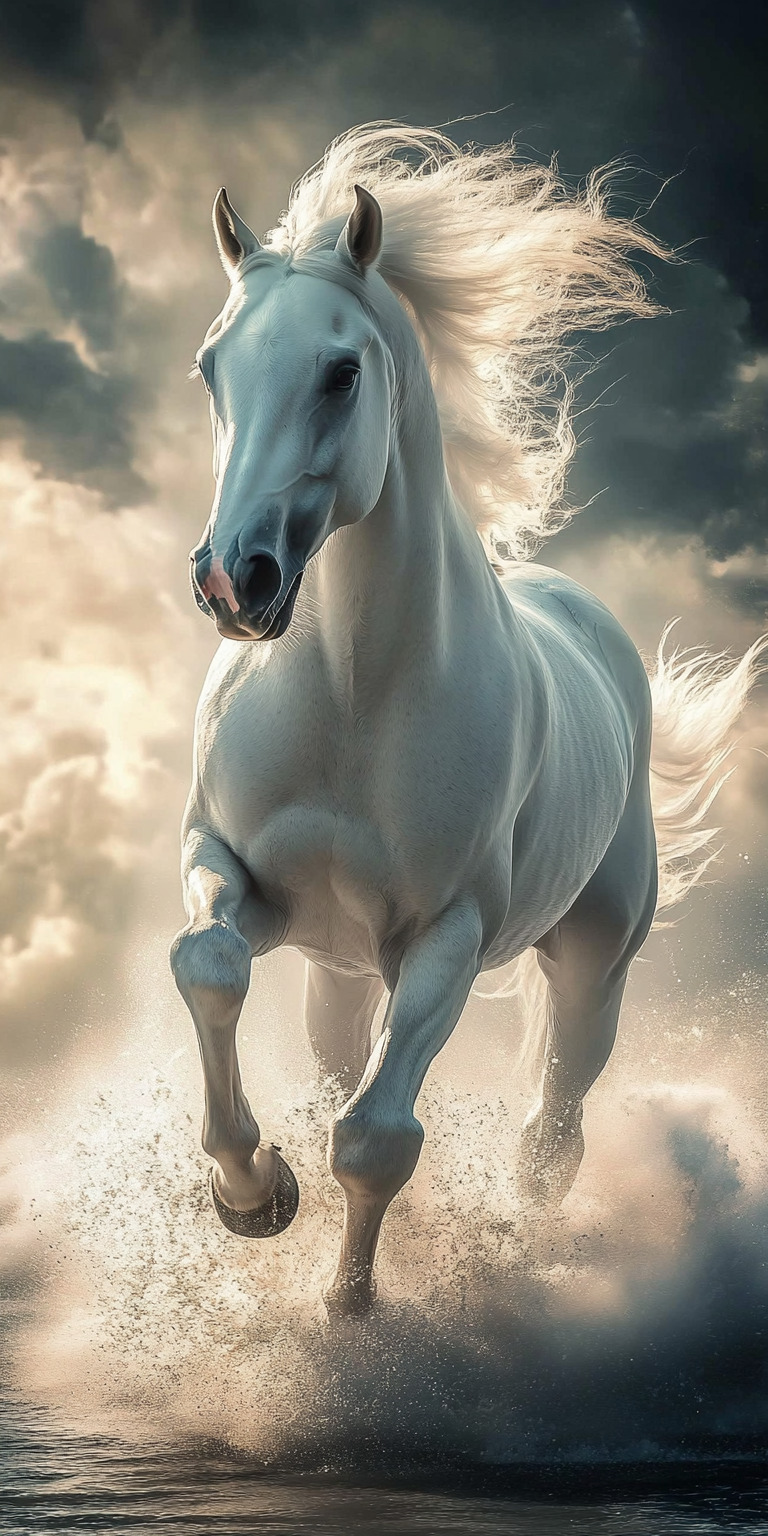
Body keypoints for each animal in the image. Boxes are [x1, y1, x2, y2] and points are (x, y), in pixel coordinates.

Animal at [170, 125, 763, 1317]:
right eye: (214, 367)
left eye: (341, 372)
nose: (232, 581)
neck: (352, 699)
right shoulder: (227, 866)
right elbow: (207, 966)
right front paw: (253, 1195)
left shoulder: (446, 937)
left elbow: (376, 1142)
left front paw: (352, 1311)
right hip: (342, 972)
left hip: (592, 964)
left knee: (553, 1140)